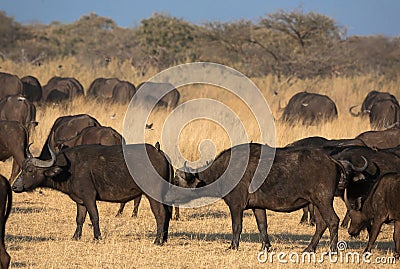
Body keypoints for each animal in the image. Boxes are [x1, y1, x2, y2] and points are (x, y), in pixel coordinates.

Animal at [12, 143, 172, 244]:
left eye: (30, 170)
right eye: (23, 168)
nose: (14, 186)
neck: (69, 169)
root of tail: (160, 154)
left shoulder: (89, 197)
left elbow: (94, 216)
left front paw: (97, 237)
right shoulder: (80, 200)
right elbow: (79, 219)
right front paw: (75, 237)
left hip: (153, 195)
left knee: (160, 214)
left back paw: (157, 241)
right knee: (168, 214)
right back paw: (164, 239)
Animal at [166, 142, 346, 251]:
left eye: (176, 180)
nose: (167, 195)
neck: (224, 171)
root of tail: (331, 160)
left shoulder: (236, 206)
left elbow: (236, 226)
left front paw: (233, 246)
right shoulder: (258, 207)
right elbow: (262, 226)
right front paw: (266, 246)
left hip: (323, 201)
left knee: (332, 221)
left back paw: (332, 250)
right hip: (317, 203)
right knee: (321, 224)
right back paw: (309, 248)